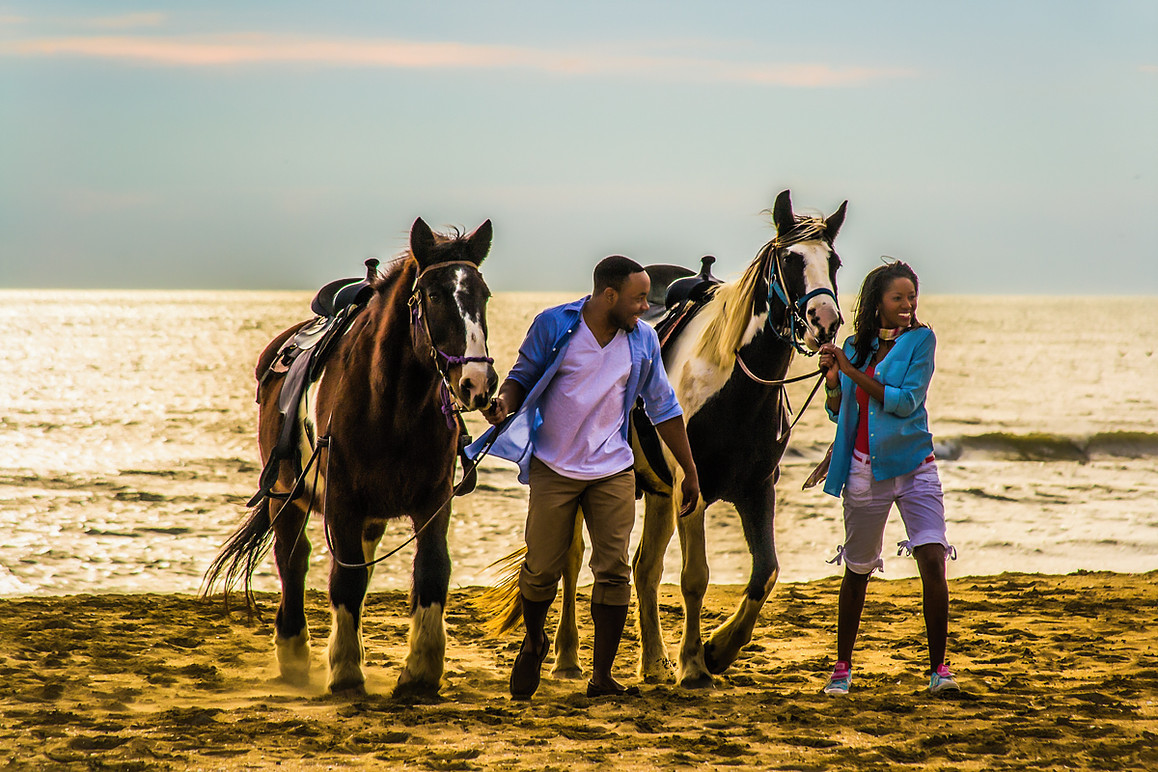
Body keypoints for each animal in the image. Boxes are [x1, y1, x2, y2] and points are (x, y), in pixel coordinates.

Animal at [206, 217, 495, 694]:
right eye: (434, 295)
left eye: (483, 295)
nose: (477, 382)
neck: (392, 406)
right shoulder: (341, 501)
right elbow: (346, 578)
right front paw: (343, 671)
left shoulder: (433, 501)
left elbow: (432, 570)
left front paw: (420, 670)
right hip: (285, 494)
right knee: (293, 558)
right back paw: (293, 651)